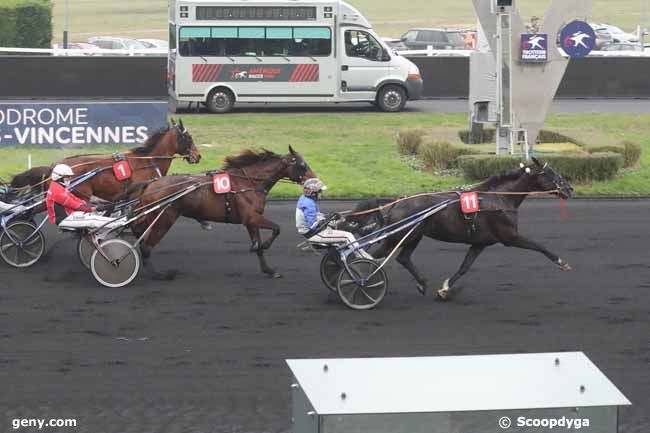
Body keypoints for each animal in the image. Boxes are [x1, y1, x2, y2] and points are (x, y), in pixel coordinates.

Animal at [128, 147, 316, 278]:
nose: (314, 180)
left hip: (153, 216)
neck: (248, 183)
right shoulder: (251, 217)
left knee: (137, 230)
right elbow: (277, 229)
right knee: (145, 245)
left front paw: (268, 270)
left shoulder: (251, 221)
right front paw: (264, 246)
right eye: (302, 165)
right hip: (164, 218)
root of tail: (151, 184)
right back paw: (158, 274)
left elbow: (258, 246)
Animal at [344, 157, 572, 302]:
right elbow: (539, 245)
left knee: (402, 258)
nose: (569, 189)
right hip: (400, 236)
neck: (497, 198)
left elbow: (464, 268)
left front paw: (445, 290)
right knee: (372, 257)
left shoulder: (480, 243)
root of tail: (396, 202)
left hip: (414, 236)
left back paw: (422, 283)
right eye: (550, 173)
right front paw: (562, 262)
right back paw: (360, 280)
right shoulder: (510, 236)